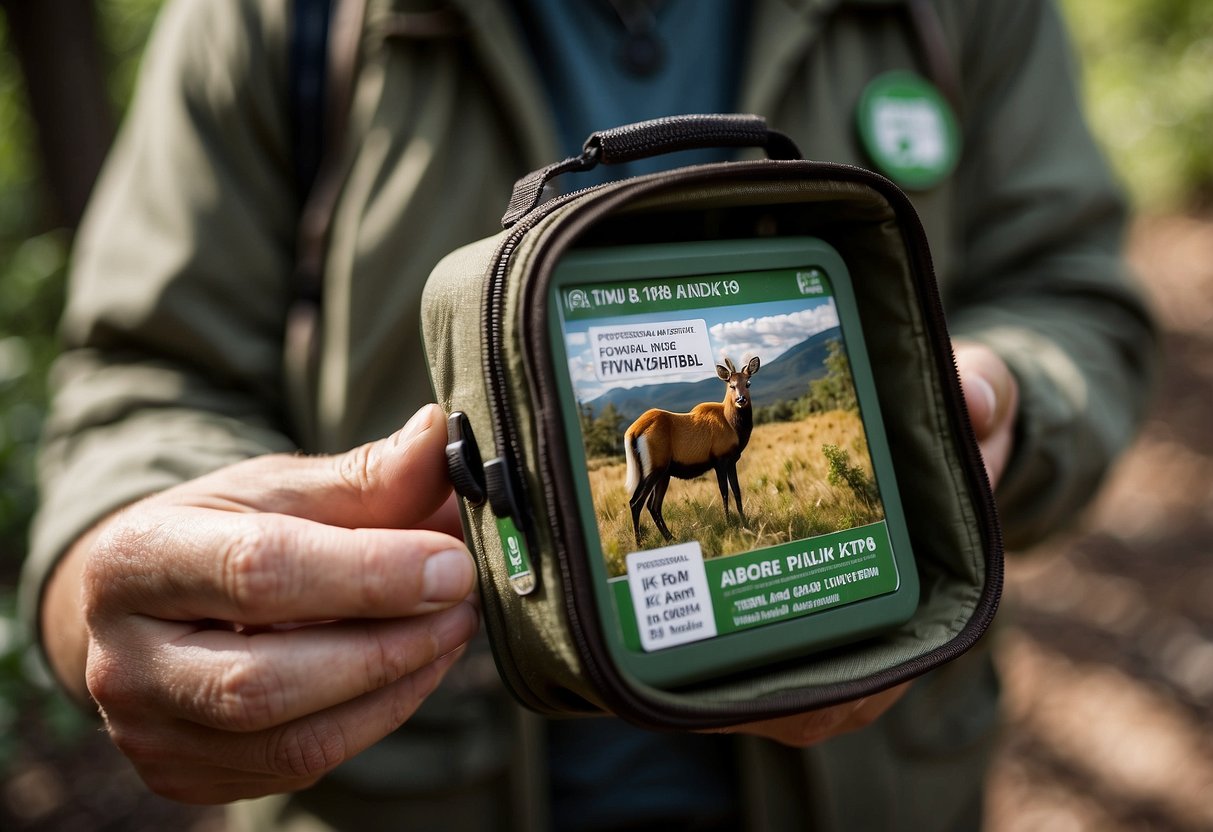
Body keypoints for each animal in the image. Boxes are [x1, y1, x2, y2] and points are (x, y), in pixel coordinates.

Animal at [625, 356, 756, 548]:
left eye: (748, 383)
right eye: (731, 385)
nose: (741, 400)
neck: (731, 424)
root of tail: (633, 432)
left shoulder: (731, 461)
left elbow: (737, 491)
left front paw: (744, 522)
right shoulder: (720, 461)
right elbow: (724, 491)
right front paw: (729, 523)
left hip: (663, 475)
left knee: (653, 505)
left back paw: (670, 537)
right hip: (654, 470)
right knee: (636, 502)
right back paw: (640, 544)